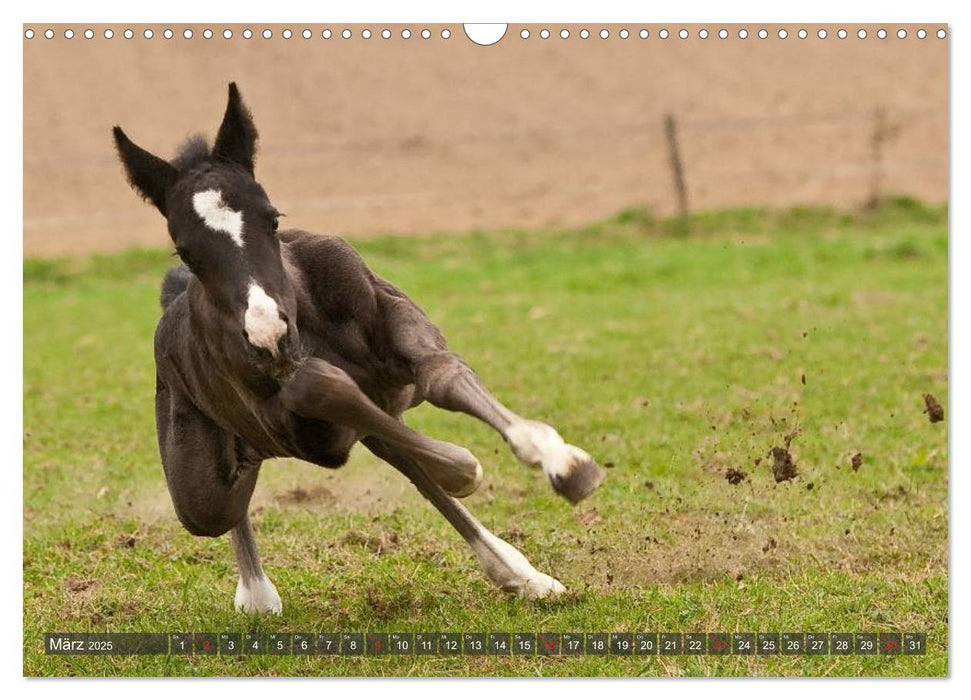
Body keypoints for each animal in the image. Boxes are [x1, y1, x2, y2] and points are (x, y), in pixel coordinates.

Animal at [112, 85, 600, 616]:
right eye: (186, 250)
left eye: (272, 219)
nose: (268, 335)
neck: (311, 325)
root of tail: (172, 303)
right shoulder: (303, 423)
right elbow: (320, 386)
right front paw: (462, 466)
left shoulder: (400, 328)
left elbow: (444, 376)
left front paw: (566, 465)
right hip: (202, 496)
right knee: (230, 503)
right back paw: (256, 590)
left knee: (398, 459)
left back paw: (521, 574)